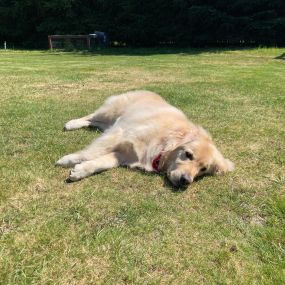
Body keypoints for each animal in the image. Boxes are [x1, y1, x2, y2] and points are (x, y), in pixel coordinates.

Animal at [55, 89, 233, 186]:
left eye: (203, 169)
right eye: (187, 154)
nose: (185, 181)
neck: (164, 140)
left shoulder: (127, 153)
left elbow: (104, 162)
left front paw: (80, 171)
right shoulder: (119, 134)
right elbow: (89, 153)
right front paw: (67, 160)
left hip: (109, 123)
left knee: (95, 122)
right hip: (111, 112)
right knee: (92, 116)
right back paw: (72, 123)